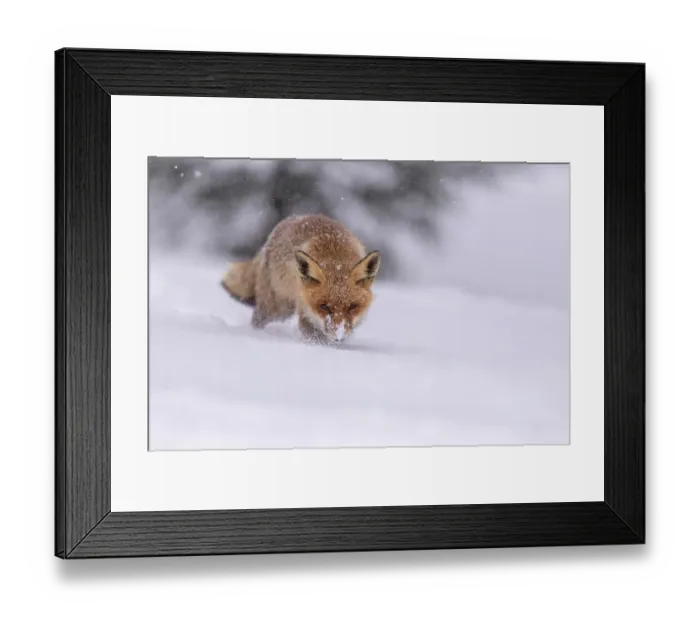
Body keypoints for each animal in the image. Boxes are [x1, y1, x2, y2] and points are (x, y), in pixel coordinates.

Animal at [221, 214, 381, 344]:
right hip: (277, 309)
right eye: (324, 306)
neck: (336, 258)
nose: (339, 337)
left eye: (352, 307)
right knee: (257, 319)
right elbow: (314, 337)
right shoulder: (305, 311)